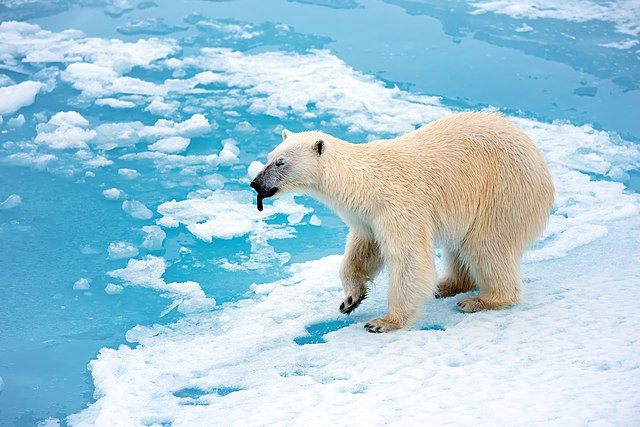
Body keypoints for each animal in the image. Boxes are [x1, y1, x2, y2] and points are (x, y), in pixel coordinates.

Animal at [250, 113, 556, 334]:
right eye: (268, 158)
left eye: (280, 162)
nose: (255, 183)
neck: (365, 181)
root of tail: (541, 163)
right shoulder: (368, 215)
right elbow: (363, 249)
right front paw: (350, 299)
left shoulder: (398, 203)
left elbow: (409, 257)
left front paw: (384, 322)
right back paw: (446, 286)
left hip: (503, 191)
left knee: (486, 244)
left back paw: (481, 300)